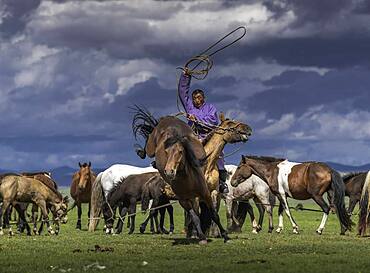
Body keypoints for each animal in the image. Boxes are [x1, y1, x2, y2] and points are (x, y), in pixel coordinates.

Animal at [133, 107, 234, 243]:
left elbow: (213, 214)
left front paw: (225, 236)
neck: (188, 180)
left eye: (181, 151)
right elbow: (195, 216)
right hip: (151, 153)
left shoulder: (206, 194)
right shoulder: (184, 200)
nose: (169, 171)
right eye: (166, 151)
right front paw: (200, 236)